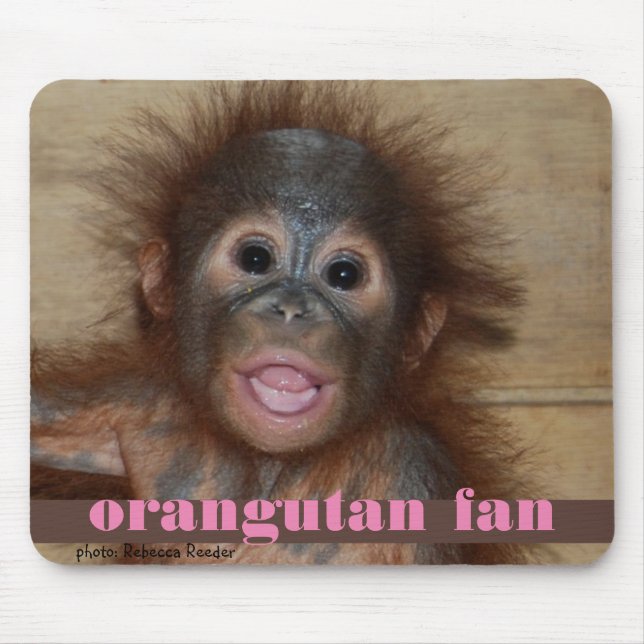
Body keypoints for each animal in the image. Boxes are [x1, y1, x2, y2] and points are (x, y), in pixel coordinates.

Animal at [31, 81, 527, 564]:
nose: (291, 308)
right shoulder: (142, 405)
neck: (272, 465)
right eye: (255, 258)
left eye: (344, 275)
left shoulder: (418, 475)